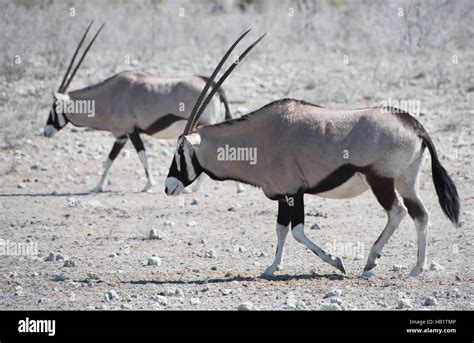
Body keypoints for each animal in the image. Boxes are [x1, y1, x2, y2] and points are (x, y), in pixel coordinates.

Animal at [45, 21, 234, 194]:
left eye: (54, 107)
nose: (46, 131)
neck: (111, 95)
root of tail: (214, 87)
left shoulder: (131, 131)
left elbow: (143, 156)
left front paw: (148, 185)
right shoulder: (121, 136)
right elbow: (109, 159)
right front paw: (97, 186)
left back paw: (193, 189)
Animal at [165, 28, 462, 276]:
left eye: (180, 150)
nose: (168, 187)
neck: (259, 137)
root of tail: (413, 124)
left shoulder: (294, 191)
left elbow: (297, 231)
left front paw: (337, 262)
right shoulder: (283, 195)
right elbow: (281, 229)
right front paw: (271, 268)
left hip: (381, 180)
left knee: (397, 212)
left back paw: (370, 261)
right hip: (406, 180)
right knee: (420, 214)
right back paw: (416, 269)